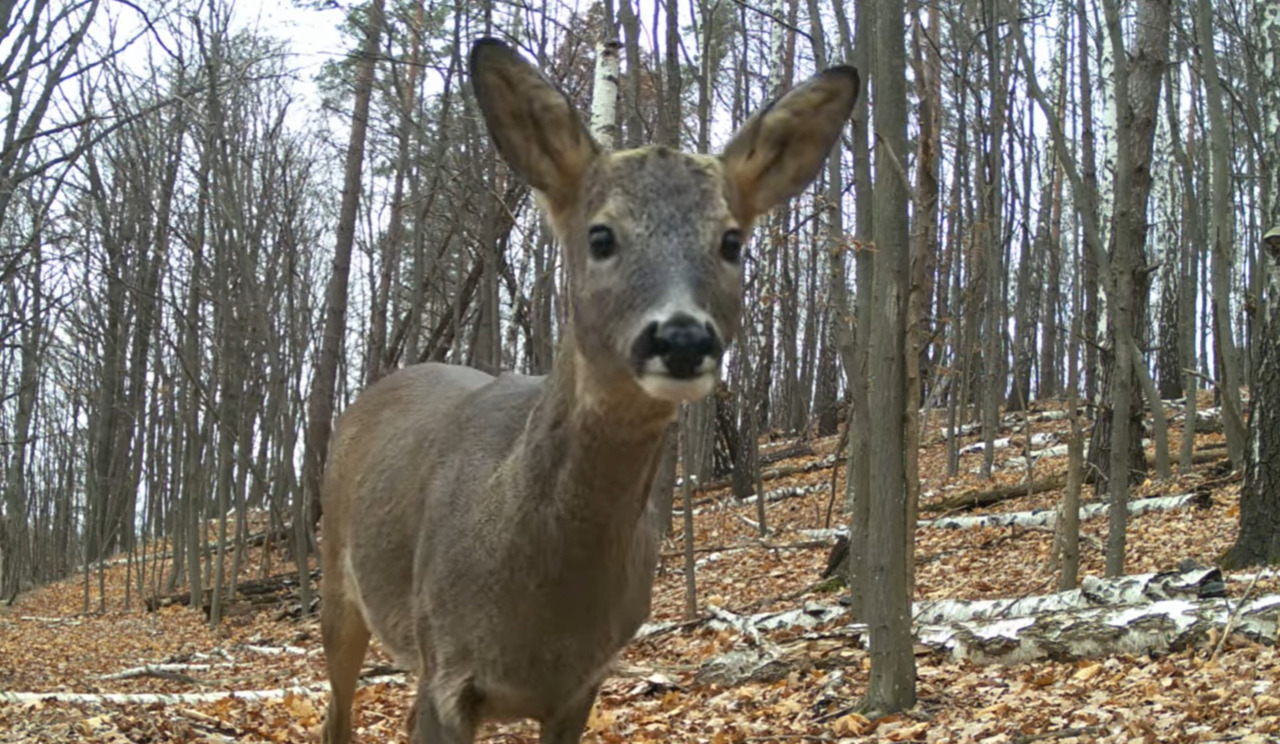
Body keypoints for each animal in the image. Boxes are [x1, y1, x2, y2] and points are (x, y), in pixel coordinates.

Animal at [318, 37, 860, 737]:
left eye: (732, 241)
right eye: (601, 234)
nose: (682, 338)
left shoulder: (583, 682)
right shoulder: (448, 667)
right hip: (338, 581)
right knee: (335, 714)